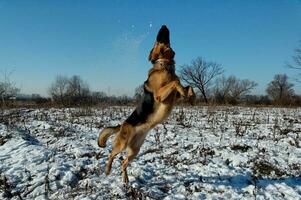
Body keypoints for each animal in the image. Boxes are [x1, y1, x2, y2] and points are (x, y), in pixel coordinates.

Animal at [96, 25, 195, 184]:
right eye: (158, 40)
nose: (164, 25)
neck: (165, 65)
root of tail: (122, 124)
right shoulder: (160, 96)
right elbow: (175, 82)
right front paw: (184, 90)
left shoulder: (174, 98)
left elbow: (188, 86)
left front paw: (191, 95)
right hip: (122, 144)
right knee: (111, 154)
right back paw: (107, 170)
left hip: (135, 150)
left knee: (123, 162)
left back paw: (126, 179)